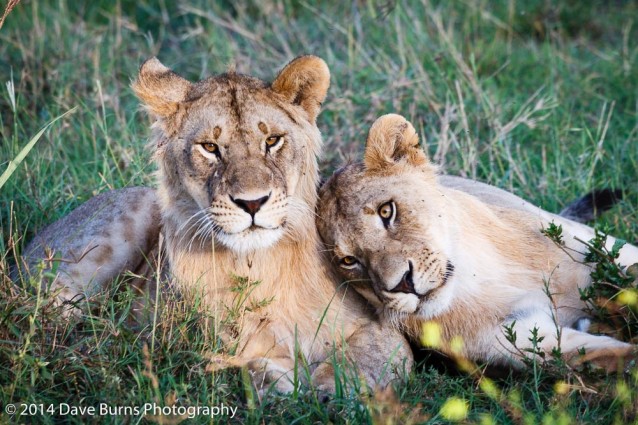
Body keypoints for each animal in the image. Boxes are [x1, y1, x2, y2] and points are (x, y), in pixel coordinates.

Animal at [21, 58, 416, 392]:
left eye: (272, 140)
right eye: (210, 147)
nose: (252, 203)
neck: (257, 266)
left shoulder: (379, 326)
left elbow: (370, 357)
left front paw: (327, 386)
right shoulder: (199, 342)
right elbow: (242, 365)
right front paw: (278, 380)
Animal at [318, 112, 636, 372]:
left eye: (387, 211)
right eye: (349, 261)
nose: (402, 284)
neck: (480, 281)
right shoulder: (525, 339)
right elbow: (608, 355)